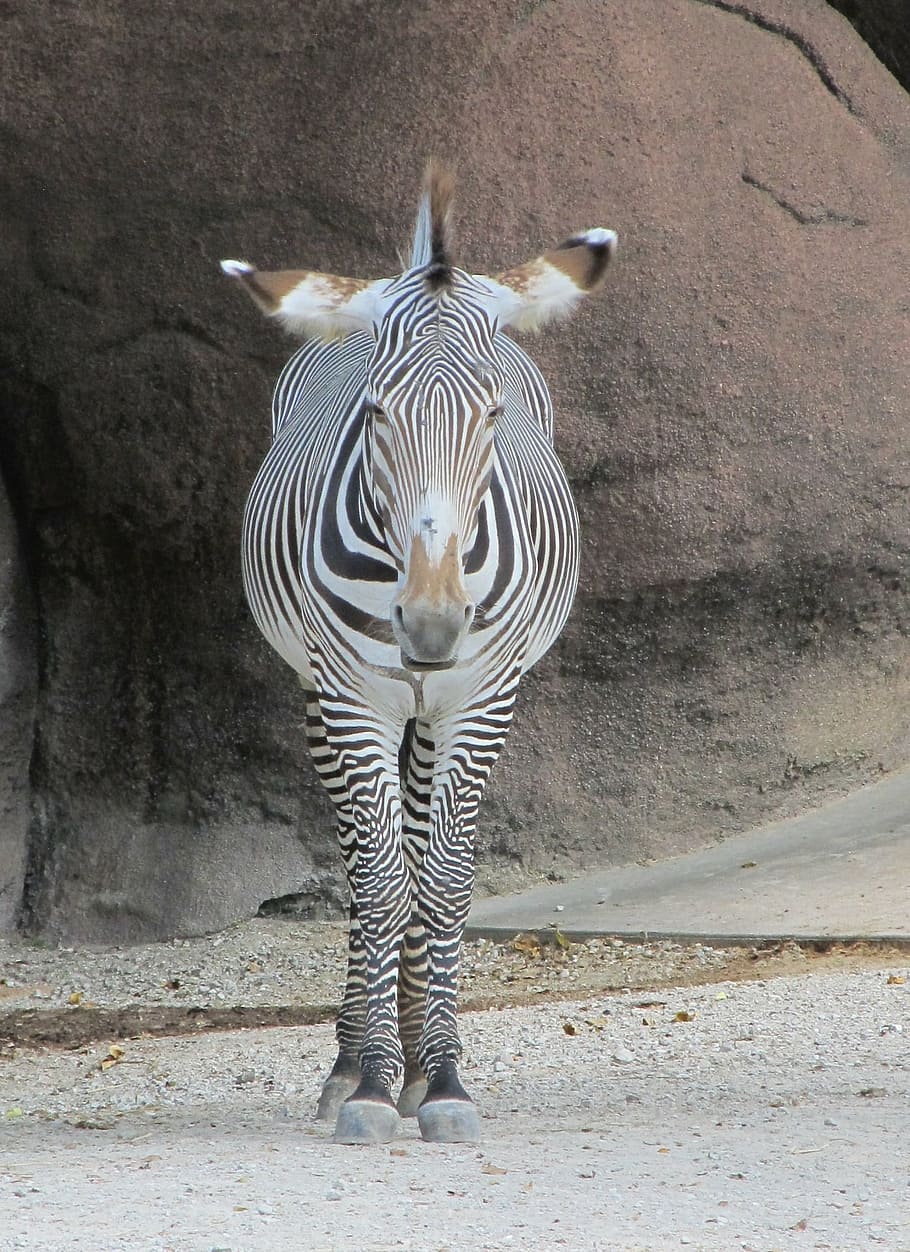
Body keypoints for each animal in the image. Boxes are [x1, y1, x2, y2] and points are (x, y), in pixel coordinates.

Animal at [221, 163, 616, 1144]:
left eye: (493, 413)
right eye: (375, 413)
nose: (432, 627)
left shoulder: (481, 699)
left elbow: (439, 883)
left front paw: (440, 1079)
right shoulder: (350, 697)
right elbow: (382, 879)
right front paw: (369, 1080)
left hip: (436, 714)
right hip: (320, 695)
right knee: (363, 862)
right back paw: (355, 1062)